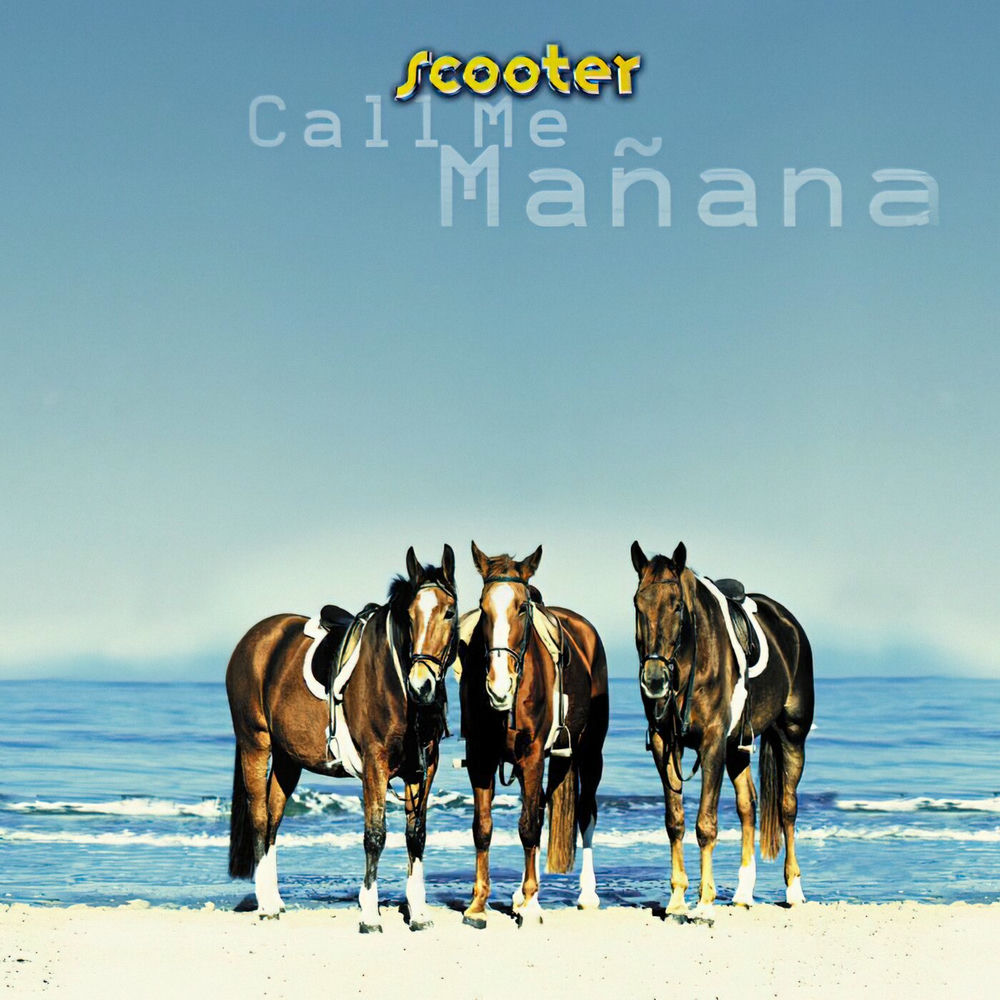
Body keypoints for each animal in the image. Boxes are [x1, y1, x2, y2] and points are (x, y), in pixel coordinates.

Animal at [226, 545, 458, 932]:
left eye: (450, 613)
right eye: (410, 616)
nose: (421, 685)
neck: (395, 681)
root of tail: (254, 639)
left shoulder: (424, 768)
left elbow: (417, 836)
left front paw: (419, 912)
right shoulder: (375, 764)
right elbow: (375, 835)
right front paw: (369, 914)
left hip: (288, 759)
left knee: (273, 818)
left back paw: (275, 899)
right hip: (255, 744)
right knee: (259, 817)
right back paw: (266, 905)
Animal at [458, 542, 609, 927]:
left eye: (522, 607)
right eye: (482, 606)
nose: (498, 686)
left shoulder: (531, 756)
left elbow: (528, 827)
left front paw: (532, 905)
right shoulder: (481, 758)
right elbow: (483, 828)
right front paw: (478, 904)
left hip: (588, 754)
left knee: (584, 813)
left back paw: (586, 895)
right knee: (539, 807)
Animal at [630, 540, 814, 912]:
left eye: (677, 606)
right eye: (638, 604)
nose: (654, 680)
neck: (692, 662)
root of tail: (790, 625)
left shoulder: (712, 743)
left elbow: (705, 824)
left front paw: (704, 903)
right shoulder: (664, 744)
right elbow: (675, 821)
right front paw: (677, 898)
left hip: (791, 735)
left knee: (788, 808)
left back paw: (794, 890)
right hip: (738, 748)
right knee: (748, 806)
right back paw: (743, 894)